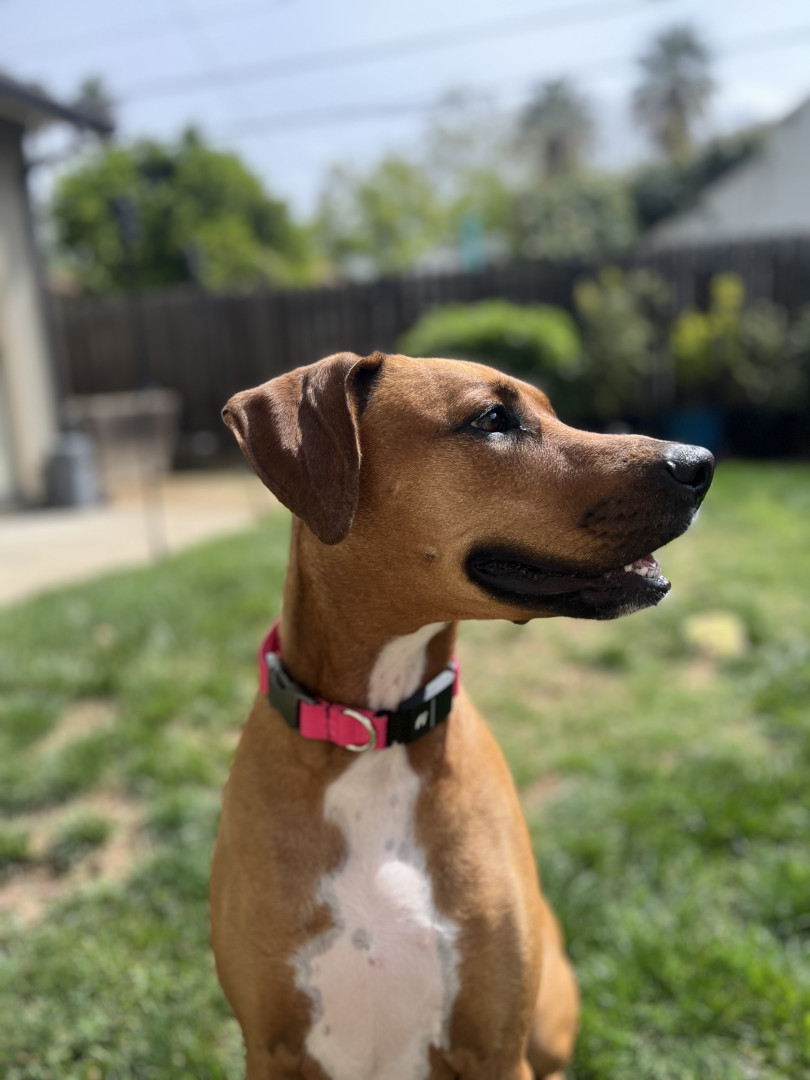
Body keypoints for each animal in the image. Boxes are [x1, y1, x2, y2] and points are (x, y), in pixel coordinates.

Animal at [210, 351, 714, 1080]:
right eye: (492, 418)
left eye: (552, 409)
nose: (700, 462)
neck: (376, 733)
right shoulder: (270, 1049)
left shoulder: (497, 1047)